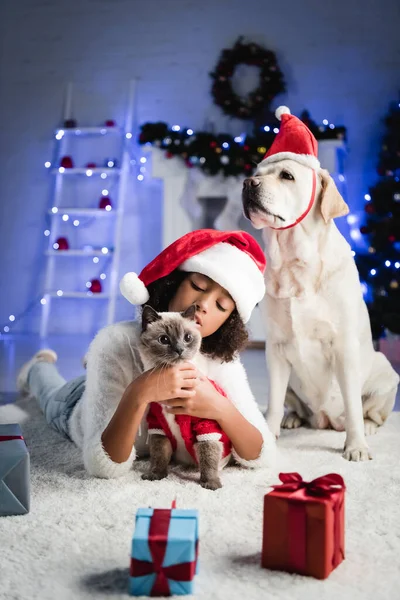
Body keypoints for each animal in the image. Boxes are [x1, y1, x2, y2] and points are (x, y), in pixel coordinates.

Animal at [138, 302, 231, 490]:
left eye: (187, 338)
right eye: (164, 340)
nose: (180, 350)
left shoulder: (206, 426)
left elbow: (208, 457)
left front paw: (210, 483)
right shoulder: (158, 426)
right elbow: (159, 455)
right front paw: (156, 475)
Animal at [242, 156, 398, 460]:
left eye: (287, 175)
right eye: (257, 173)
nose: (247, 183)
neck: (294, 261)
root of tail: (325, 420)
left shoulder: (343, 347)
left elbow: (353, 406)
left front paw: (356, 446)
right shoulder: (276, 349)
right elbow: (274, 401)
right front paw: (269, 435)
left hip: (386, 372)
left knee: (371, 412)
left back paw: (369, 427)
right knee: (293, 406)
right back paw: (292, 419)